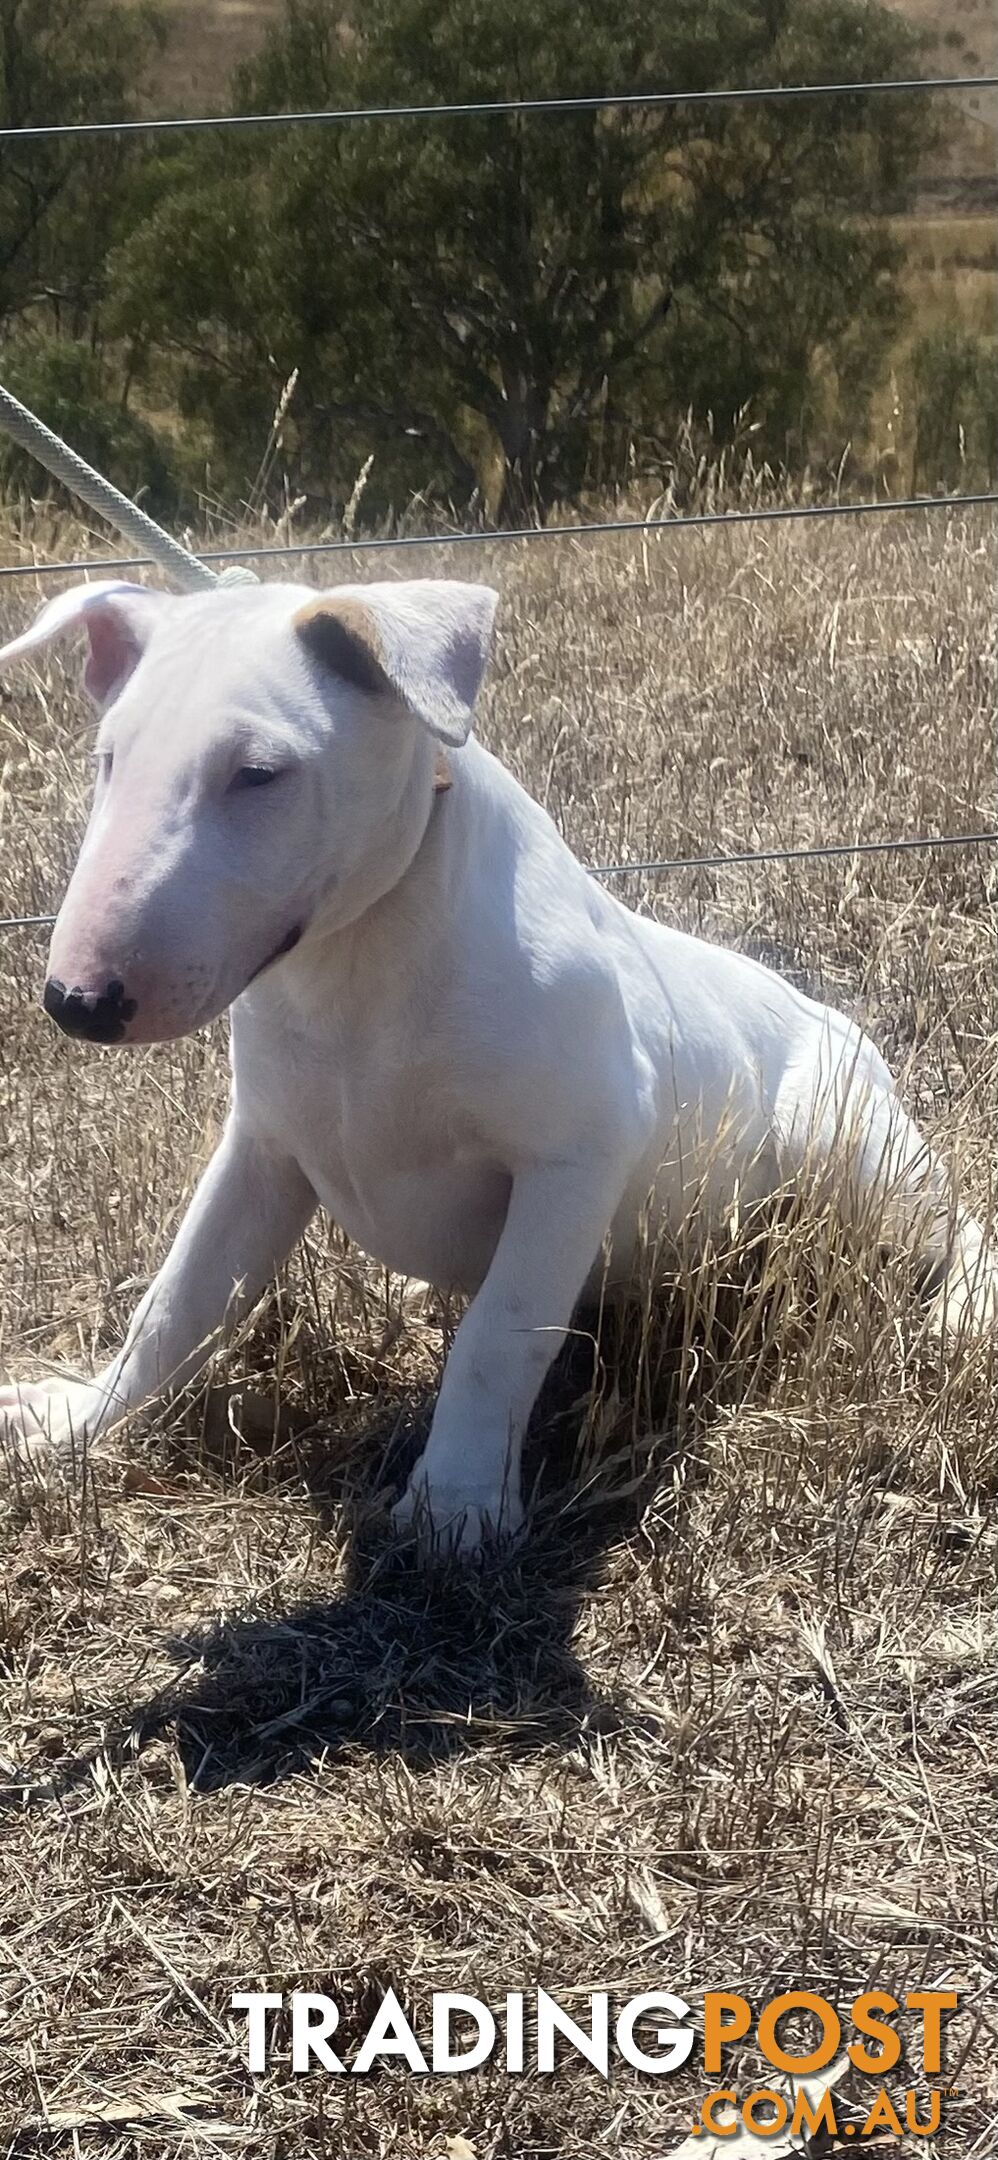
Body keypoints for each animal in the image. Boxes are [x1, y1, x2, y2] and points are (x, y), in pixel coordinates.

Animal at [0, 578, 989, 1555]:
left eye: (259, 774)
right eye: (108, 761)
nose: (76, 1003)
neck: (356, 965)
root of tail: (836, 1019)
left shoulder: (579, 1149)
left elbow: (498, 1334)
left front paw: (457, 1503)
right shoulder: (263, 1152)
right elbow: (179, 1298)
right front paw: (79, 1420)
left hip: (847, 1147)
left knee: (949, 1224)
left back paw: (963, 1307)